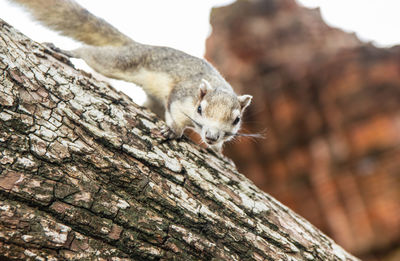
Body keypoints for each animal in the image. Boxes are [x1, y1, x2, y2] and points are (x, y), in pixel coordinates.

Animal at [9, 0, 255, 151]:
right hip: (123, 62)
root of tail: (139, 46)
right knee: (91, 54)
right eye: (200, 109)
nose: (212, 136)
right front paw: (173, 130)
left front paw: (219, 151)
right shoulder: (181, 97)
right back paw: (67, 51)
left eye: (237, 120)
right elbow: (174, 113)